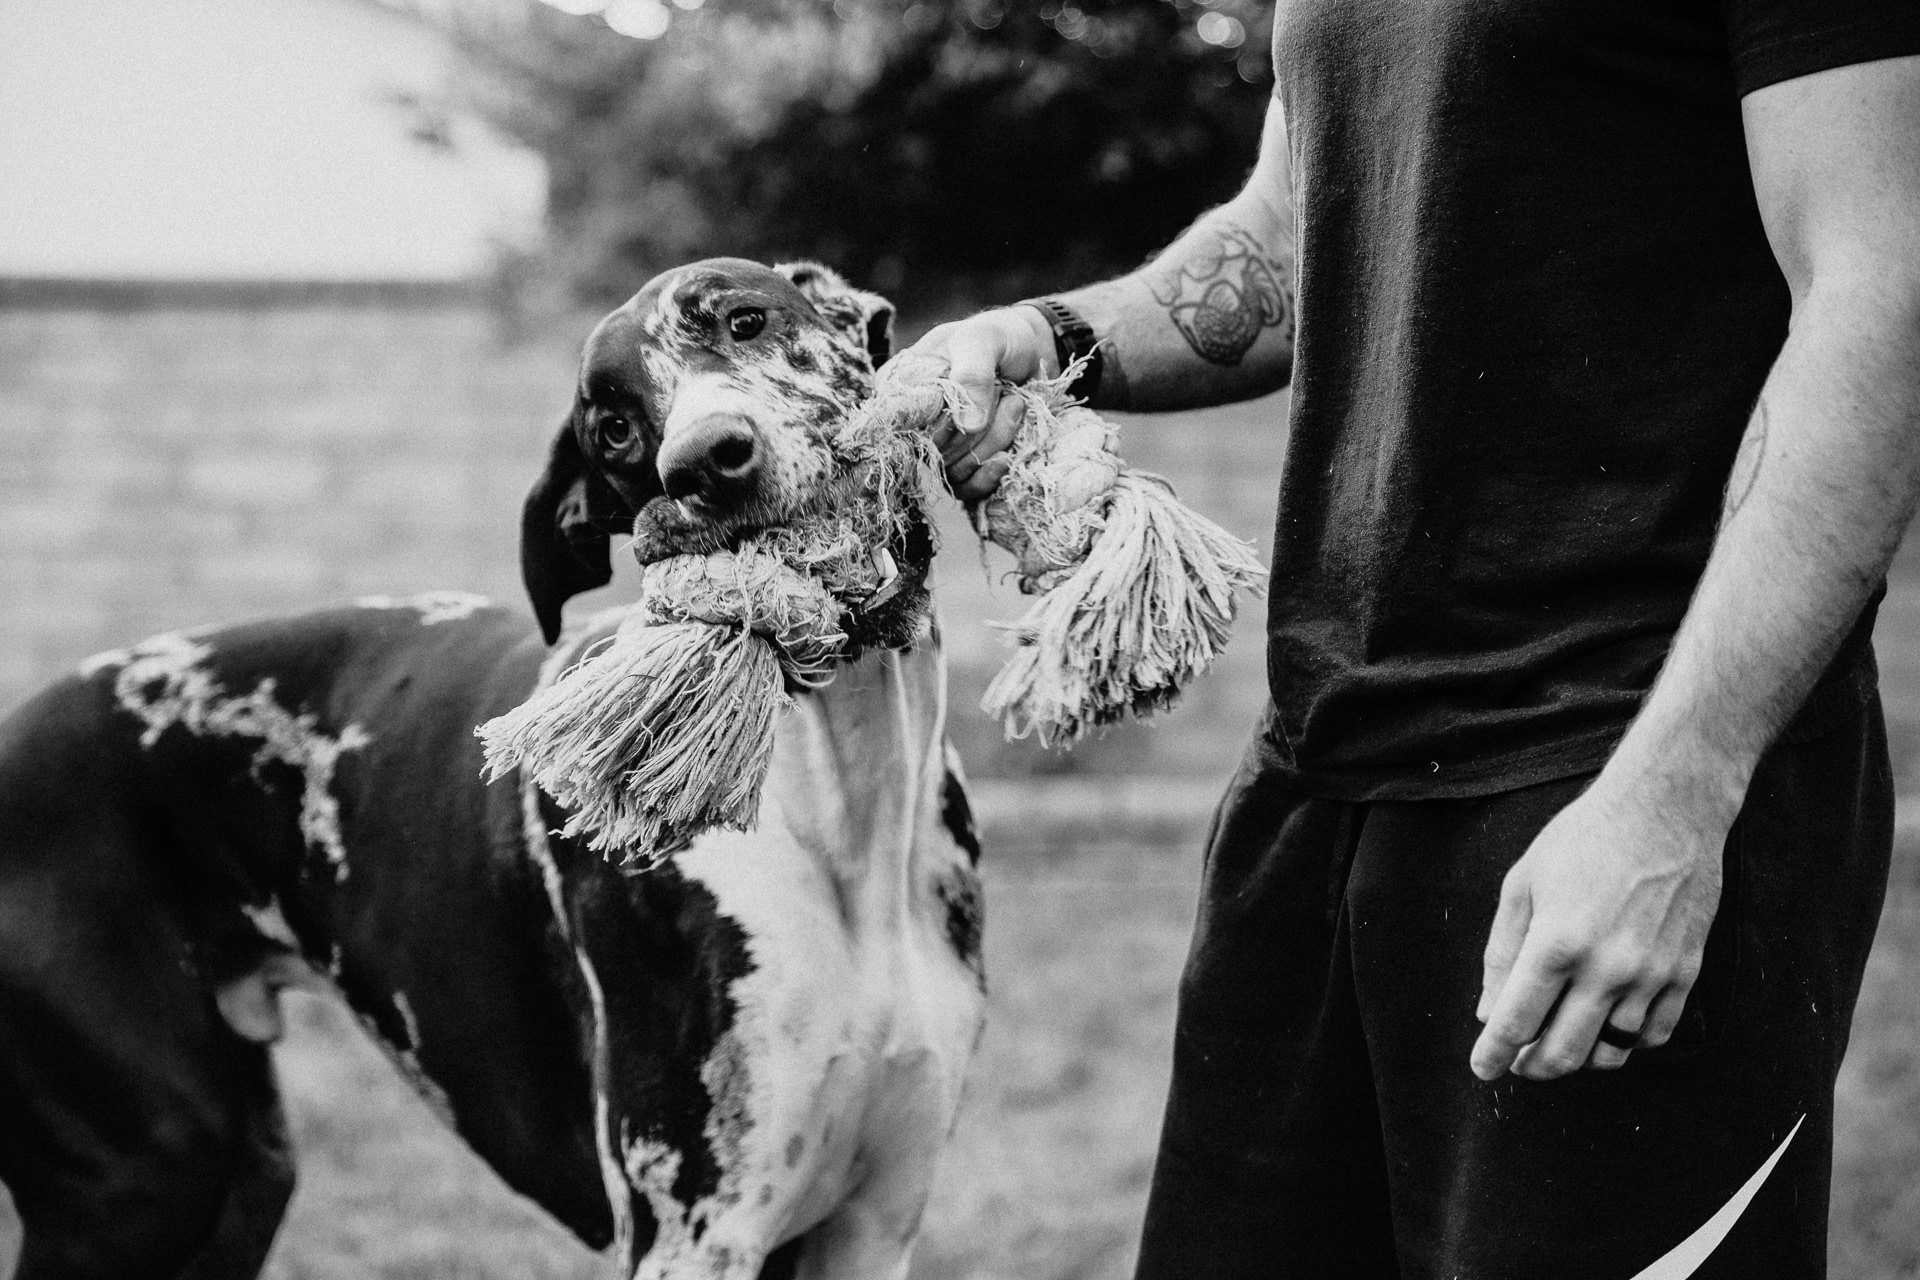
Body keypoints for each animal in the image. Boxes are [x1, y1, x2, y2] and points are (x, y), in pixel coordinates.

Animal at [0, 260, 990, 1280]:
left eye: (746, 320)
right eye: (614, 429)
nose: (708, 462)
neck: (847, 797)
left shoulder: (871, 1231)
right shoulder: (691, 1235)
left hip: (239, 1183)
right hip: (144, 1178)